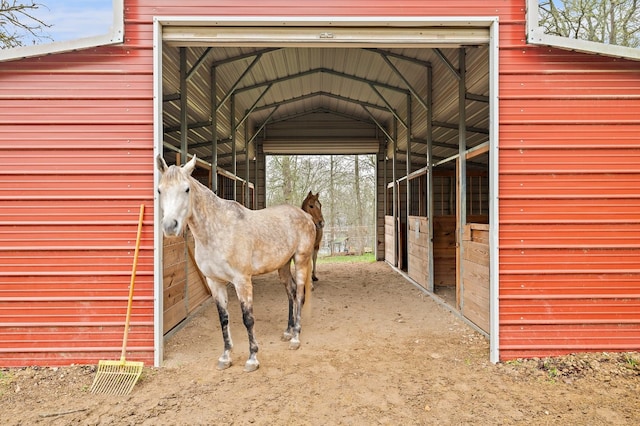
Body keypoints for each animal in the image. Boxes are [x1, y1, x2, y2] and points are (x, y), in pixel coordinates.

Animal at [156, 156, 316, 372]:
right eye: (159, 190)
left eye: (186, 189)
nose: (169, 227)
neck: (218, 230)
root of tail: (306, 216)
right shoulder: (215, 282)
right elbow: (224, 319)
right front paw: (225, 357)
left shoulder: (242, 281)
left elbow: (248, 319)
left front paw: (252, 358)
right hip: (283, 265)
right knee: (290, 292)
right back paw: (288, 331)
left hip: (301, 260)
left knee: (299, 294)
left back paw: (296, 338)